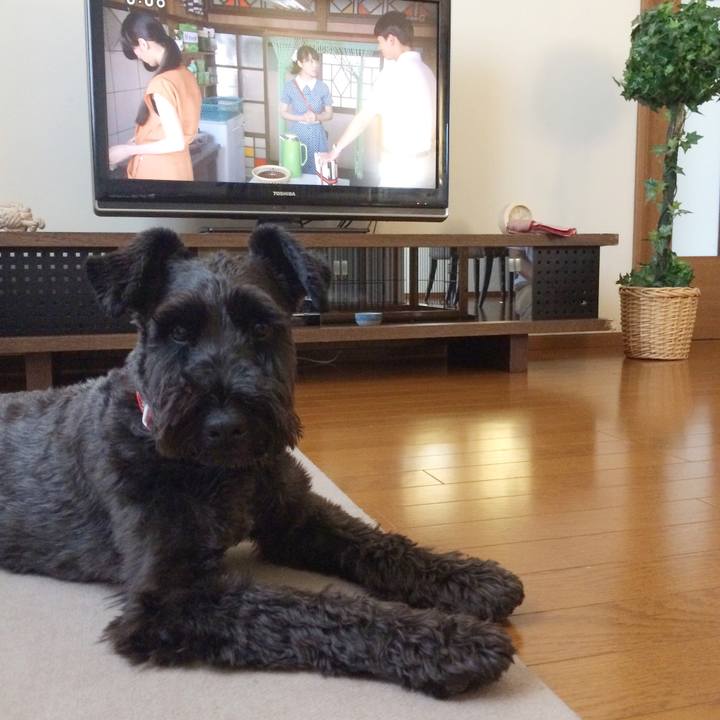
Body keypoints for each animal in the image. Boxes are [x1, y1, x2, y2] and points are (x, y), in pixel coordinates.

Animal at [0, 225, 523, 698]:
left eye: (261, 327)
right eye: (178, 331)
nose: (226, 425)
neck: (216, 472)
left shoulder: (297, 519)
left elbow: (380, 543)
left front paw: (469, 580)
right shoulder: (172, 598)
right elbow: (306, 609)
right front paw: (448, 642)